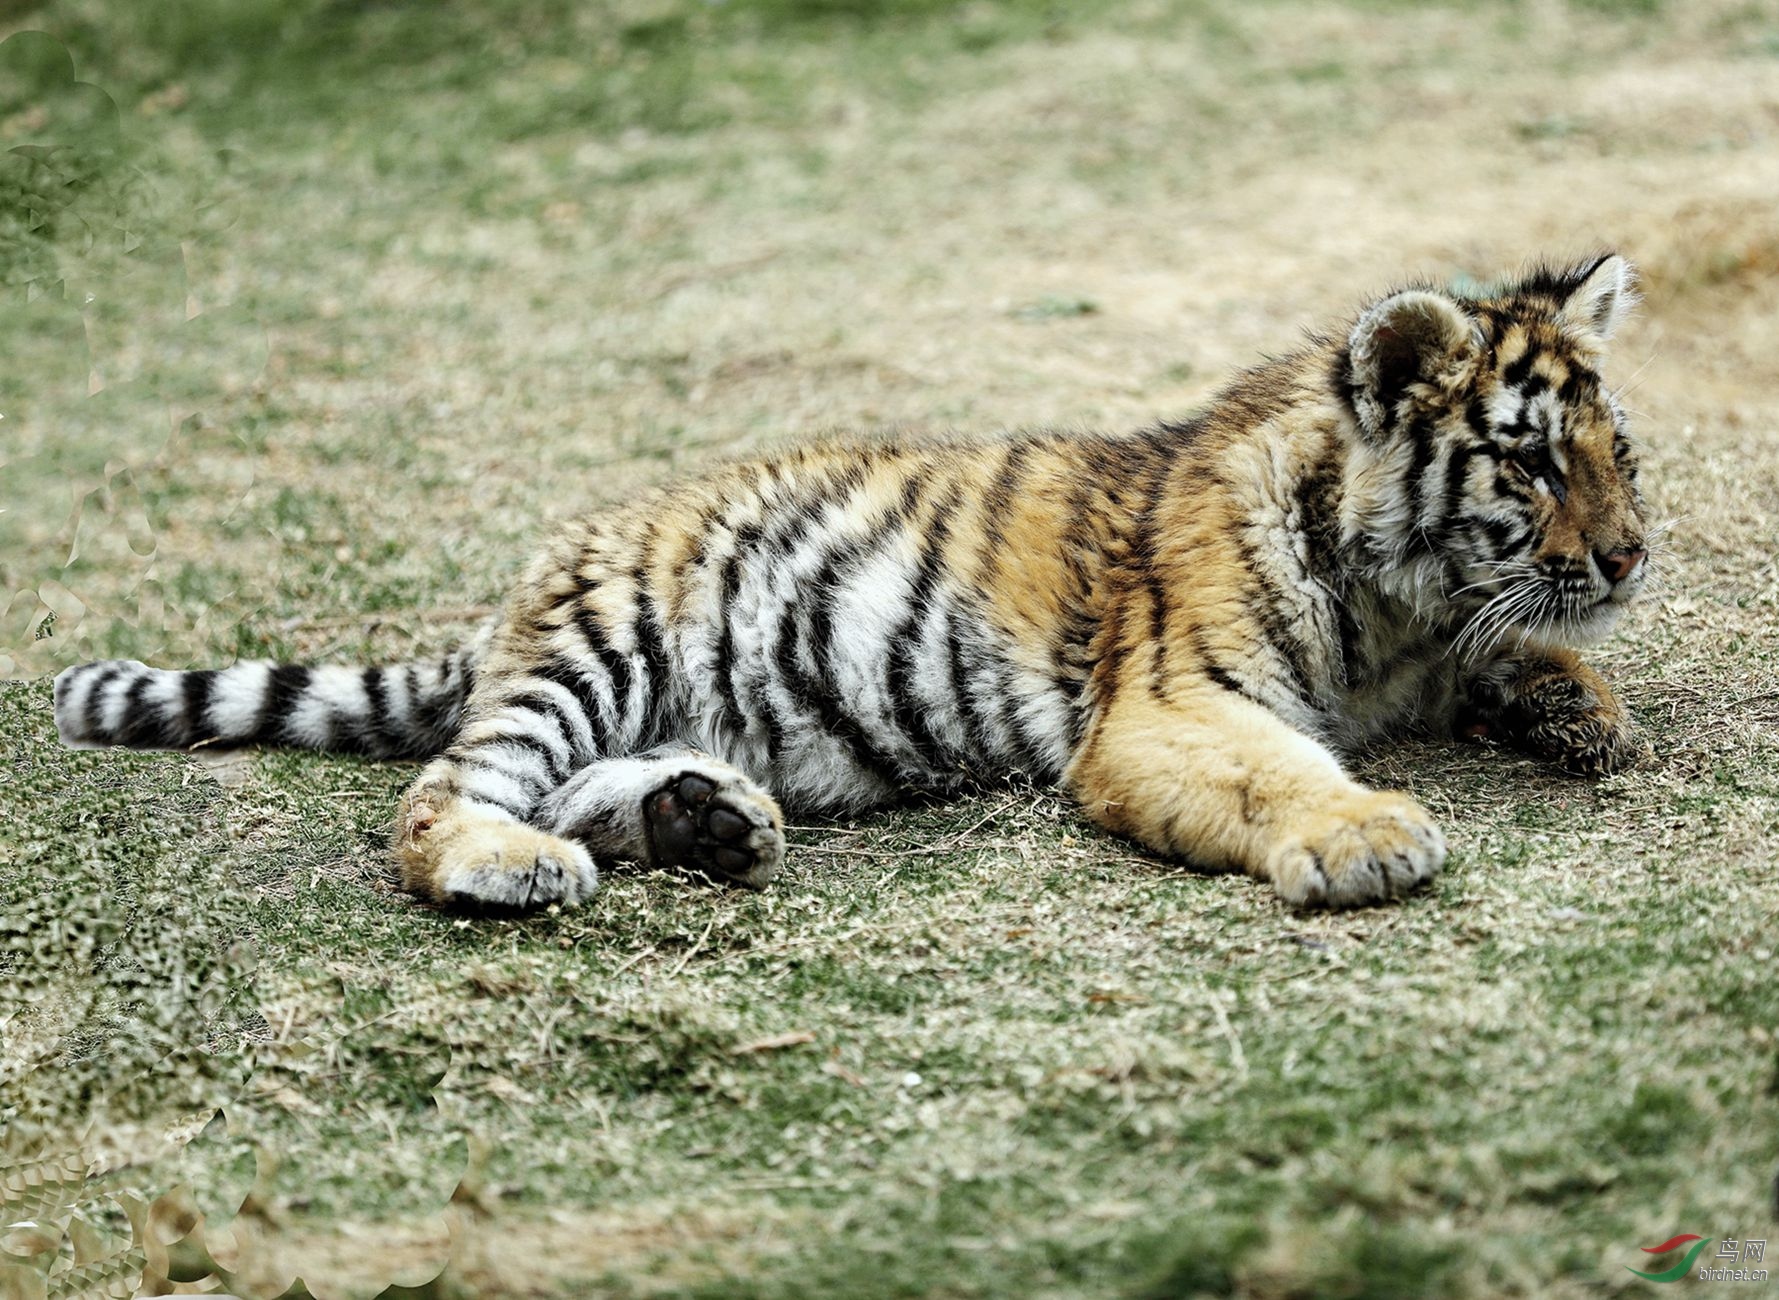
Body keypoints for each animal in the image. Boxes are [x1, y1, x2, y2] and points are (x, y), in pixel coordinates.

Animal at [53, 253, 1654, 913]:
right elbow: (1284, 771)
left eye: (1614, 447)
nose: (1631, 553)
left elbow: (1514, 654)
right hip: (592, 651)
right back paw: (513, 867)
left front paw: (1577, 707)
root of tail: (531, 580)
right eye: (1525, 463)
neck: (1395, 606)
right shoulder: (1166, 710)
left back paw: (701, 823)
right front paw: (1367, 833)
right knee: (445, 797)